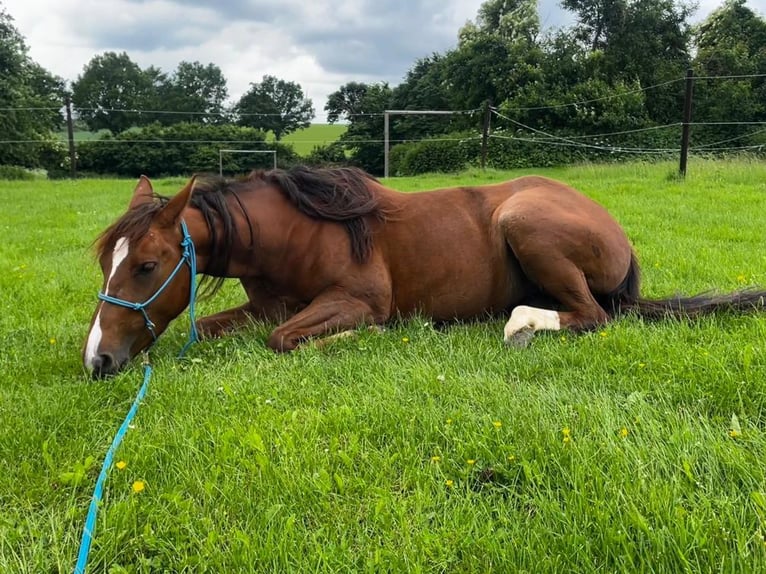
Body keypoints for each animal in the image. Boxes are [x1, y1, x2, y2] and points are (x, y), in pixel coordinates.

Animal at [84, 166, 766, 380]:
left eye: (147, 265)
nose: (97, 360)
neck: (298, 231)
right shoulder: (268, 305)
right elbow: (217, 328)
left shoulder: (356, 300)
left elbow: (285, 340)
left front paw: (362, 338)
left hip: (527, 223)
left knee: (591, 317)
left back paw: (518, 326)